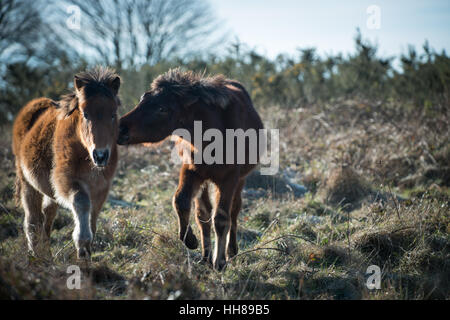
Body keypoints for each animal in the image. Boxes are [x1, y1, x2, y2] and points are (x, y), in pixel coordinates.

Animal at [12, 67, 121, 260]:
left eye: (113, 114)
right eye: (85, 114)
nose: (100, 155)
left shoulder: (101, 189)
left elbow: (92, 220)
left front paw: (86, 254)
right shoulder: (67, 181)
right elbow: (81, 201)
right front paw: (82, 243)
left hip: (49, 192)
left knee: (47, 216)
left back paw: (46, 253)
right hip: (28, 184)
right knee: (32, 222)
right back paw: (35, 257)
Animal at [118, 68, 264, 270]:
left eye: (162, 109)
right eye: (142, 99)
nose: (120, 129)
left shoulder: (229, 178)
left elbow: (221, 218)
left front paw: (220, 262)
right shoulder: (191, 170)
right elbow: (181, 201)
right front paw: (190, 240)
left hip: (240, 180)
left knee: (234, 211)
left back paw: (231, 251)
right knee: (203, 214)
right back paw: (205, 257)